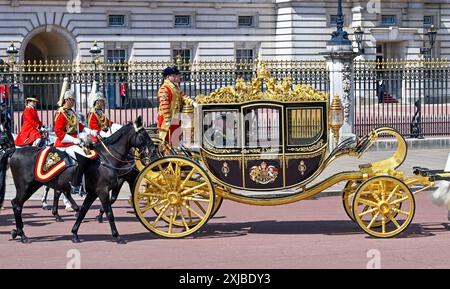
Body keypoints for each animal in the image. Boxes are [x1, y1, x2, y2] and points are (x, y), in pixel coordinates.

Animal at [3, 116, 155, 242]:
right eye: (143, 134)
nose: (153, 150)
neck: (107, 158)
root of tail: (15, 150)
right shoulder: (103, 190)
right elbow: (109, 213)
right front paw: (116, 236)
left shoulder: (93, 192)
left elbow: (83, 211)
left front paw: (75, 234)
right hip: (26, 187)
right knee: (17, 205)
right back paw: (22, 234)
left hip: (35, 185)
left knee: (25, 202)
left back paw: (18, 231)